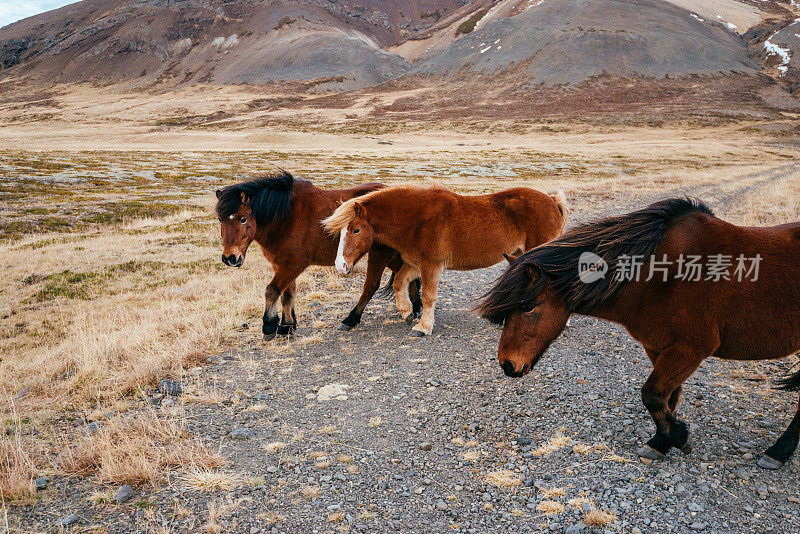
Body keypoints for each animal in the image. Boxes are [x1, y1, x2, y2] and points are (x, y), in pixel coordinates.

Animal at [216, 172, 422, 340]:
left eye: (243, 219)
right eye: (220, 219)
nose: (230, 258)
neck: (286, 218)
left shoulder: (293, 265)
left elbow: (272, 290)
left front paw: (269, 326)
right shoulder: (281, 264)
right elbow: (288, 294)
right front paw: (287, 326)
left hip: (381, 253)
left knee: (372, 285)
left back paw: (351, 319)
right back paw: (415, 308)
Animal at [324, 186, 568, 340]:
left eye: (356, 230)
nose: (340, 266)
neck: (416, 220)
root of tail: (552, 201)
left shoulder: (431, 265)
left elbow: (428, 296)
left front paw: (423, 327)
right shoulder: (415, 263)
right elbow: (399, 283)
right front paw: (406, 312)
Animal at [478, 199, 796, 472]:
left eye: (528, 306)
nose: (507, 364)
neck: (660, 275)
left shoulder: (689, 349)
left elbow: (652, 395)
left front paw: (678, 437)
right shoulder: (659, 347)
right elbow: (667, 398)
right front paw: (661, 442)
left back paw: (777, 452)